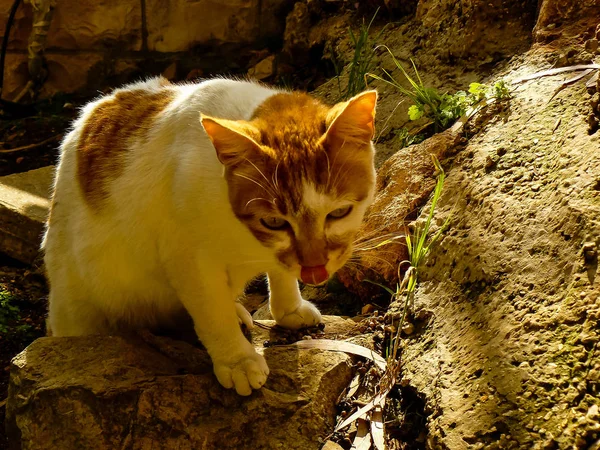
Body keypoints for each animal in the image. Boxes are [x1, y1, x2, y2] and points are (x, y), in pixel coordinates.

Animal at [43, 76, 376, 394]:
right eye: (273, 222)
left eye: (339, 212)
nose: (314, 269)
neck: (247, 238)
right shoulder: (188, 258)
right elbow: (214, 314)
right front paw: (237, 360)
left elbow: (281, 273)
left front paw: (289, 309)